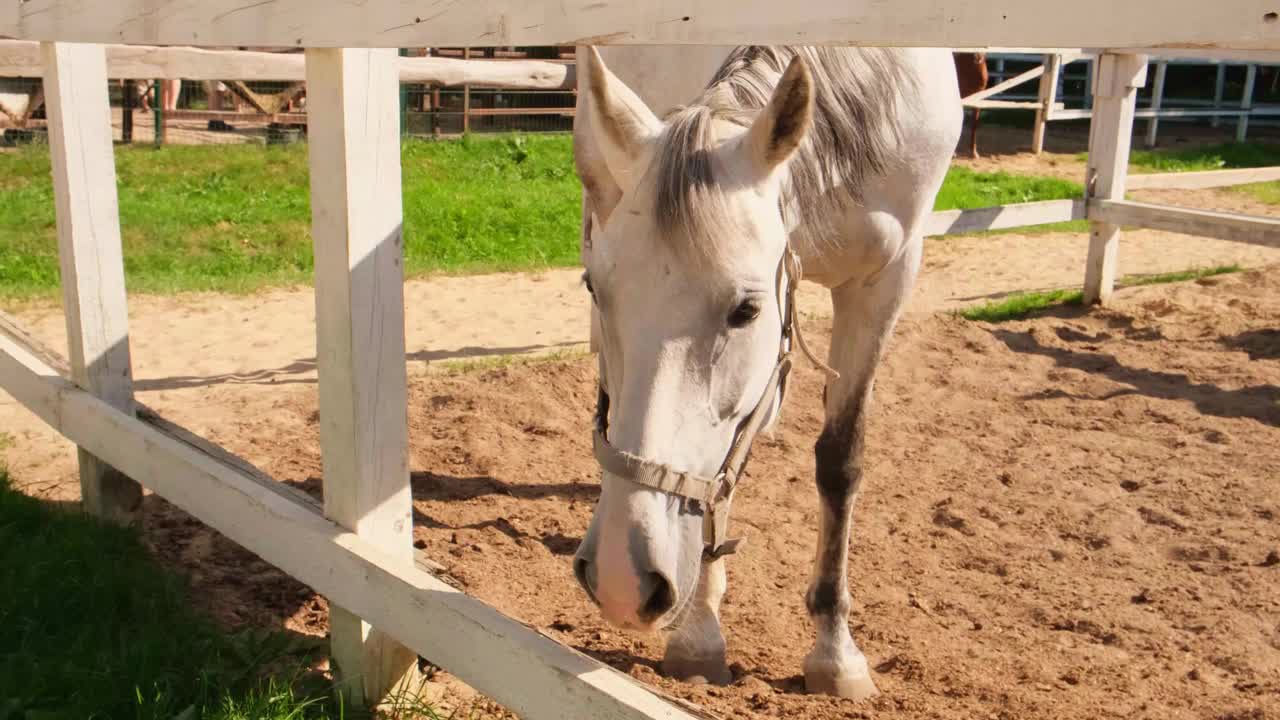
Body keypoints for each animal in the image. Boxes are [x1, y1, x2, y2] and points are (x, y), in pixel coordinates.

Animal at [570, 46, 962, 696]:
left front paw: (835, 651)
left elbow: (839, 461)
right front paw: (700, 637)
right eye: (594, 289)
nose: (622, 580)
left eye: (746, 311)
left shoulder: (887, 280)